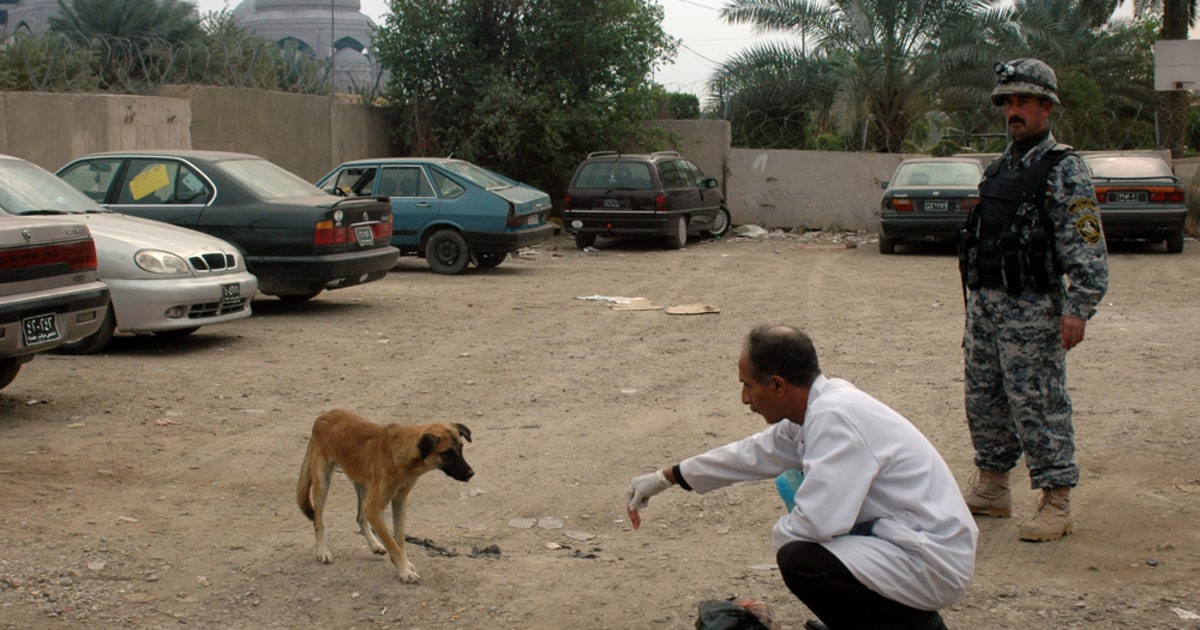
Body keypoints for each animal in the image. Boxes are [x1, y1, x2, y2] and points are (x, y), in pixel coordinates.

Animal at [295, 408, 472, 580]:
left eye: (461, 448)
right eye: (447, 453)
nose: (471, 473)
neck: (403, 454)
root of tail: (322, 416)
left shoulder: (400, 500)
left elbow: (399, 539)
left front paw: (405, 564)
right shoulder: (375, 508)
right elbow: (392, 543)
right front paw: (404, 571)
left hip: (363, 487)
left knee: (360, 517)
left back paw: (374, 545)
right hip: (323, 483)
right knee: (318, 520)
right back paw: (323, 551)